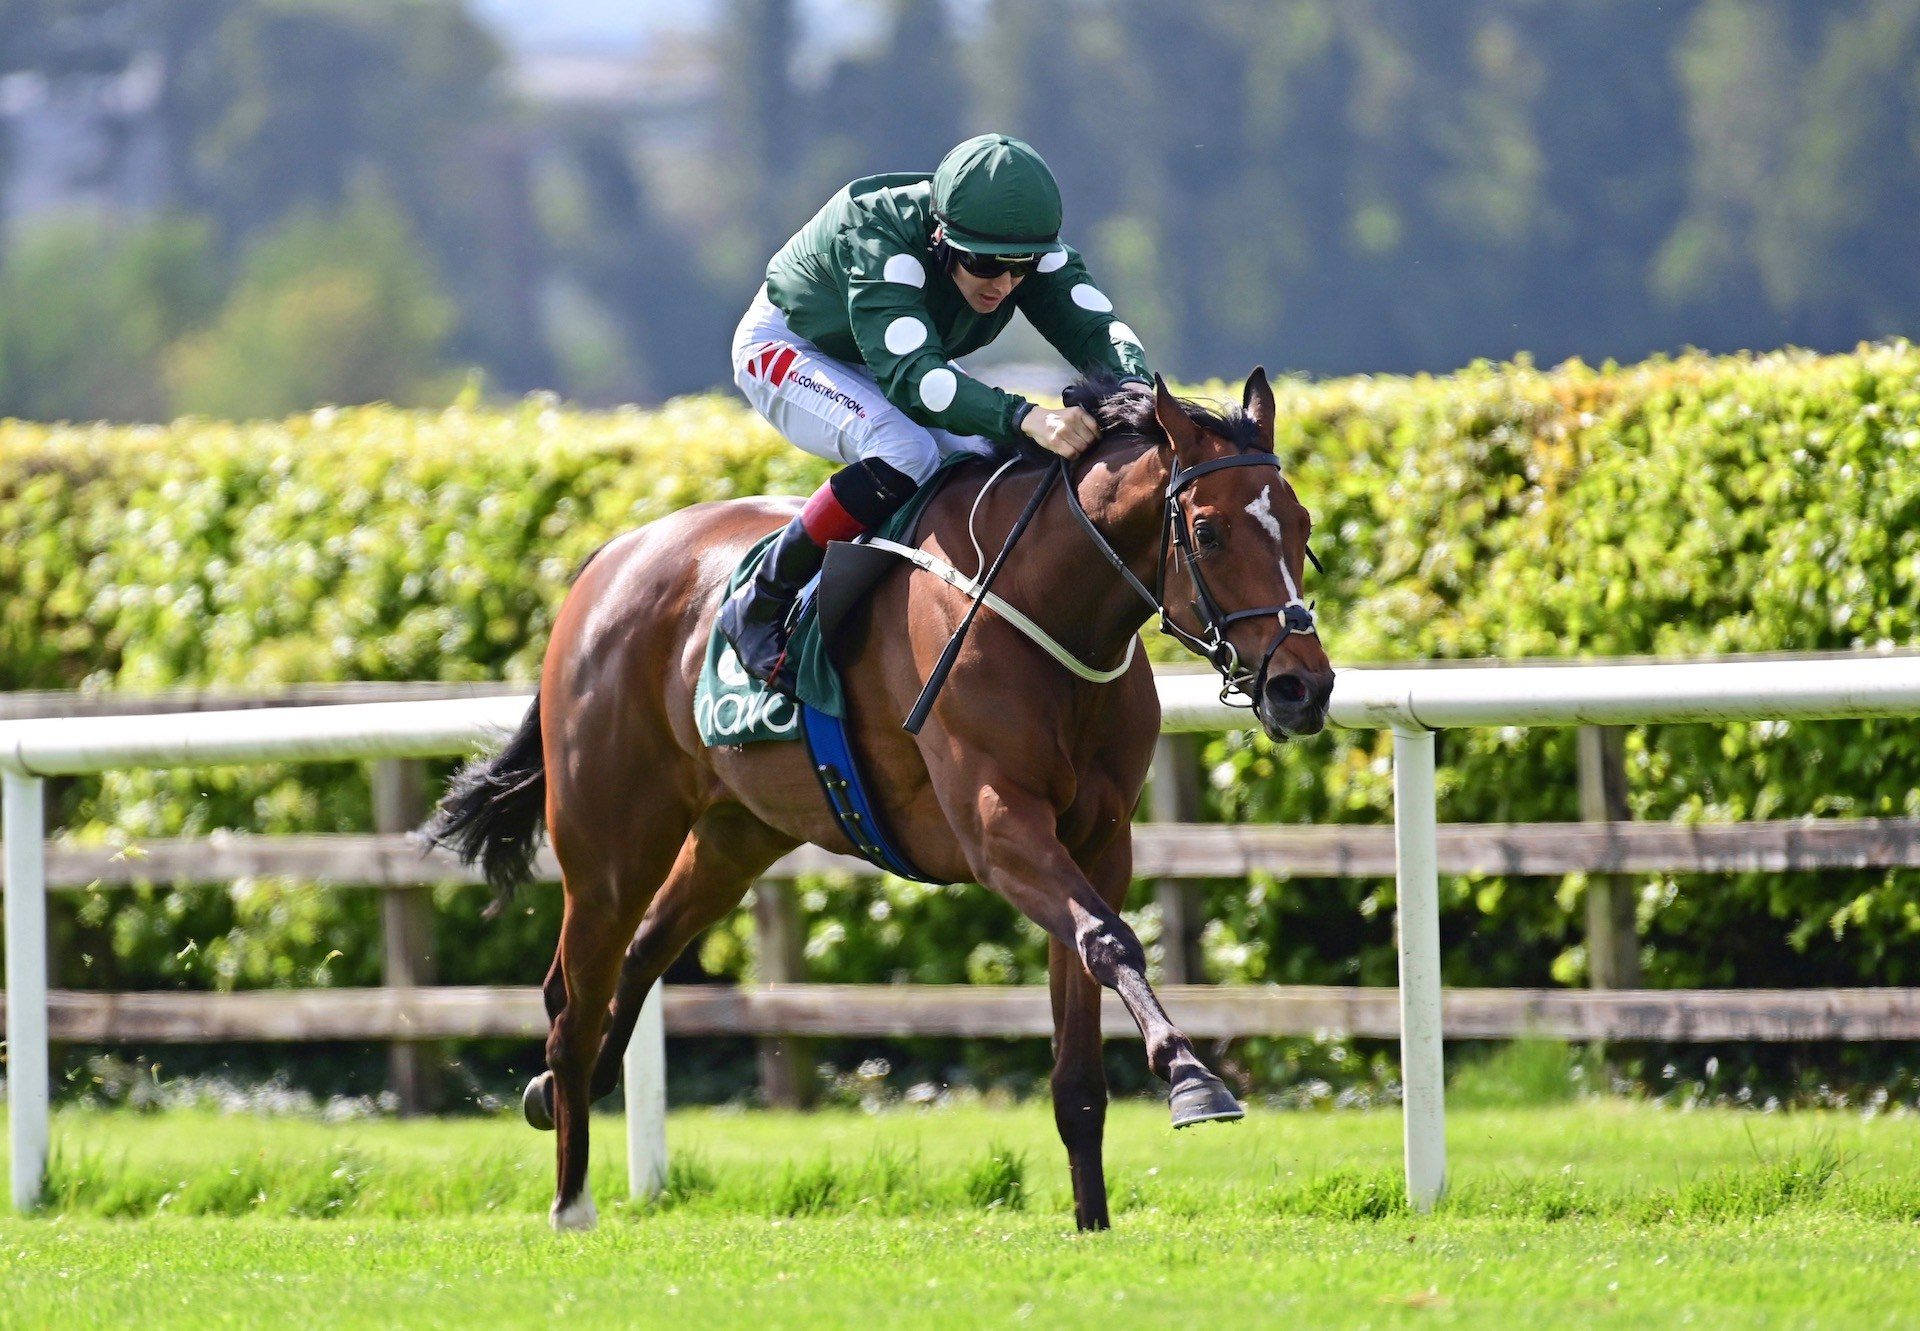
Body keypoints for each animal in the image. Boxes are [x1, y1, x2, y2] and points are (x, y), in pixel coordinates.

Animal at [432, 368, 1336, 1229]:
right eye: (1209, 530)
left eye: (1303, 526)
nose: (1303, 687)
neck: (1045, 606)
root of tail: (607, 558)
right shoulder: (998, 827)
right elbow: (1111, 940)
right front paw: (1192, 1079)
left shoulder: (1097, 842)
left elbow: (1082, 1037)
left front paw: (1094, 1220)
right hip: (610, 836)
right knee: (574, 996)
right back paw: (571, 1199)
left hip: (735, 834)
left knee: (643, 950)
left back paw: (553, 1095)